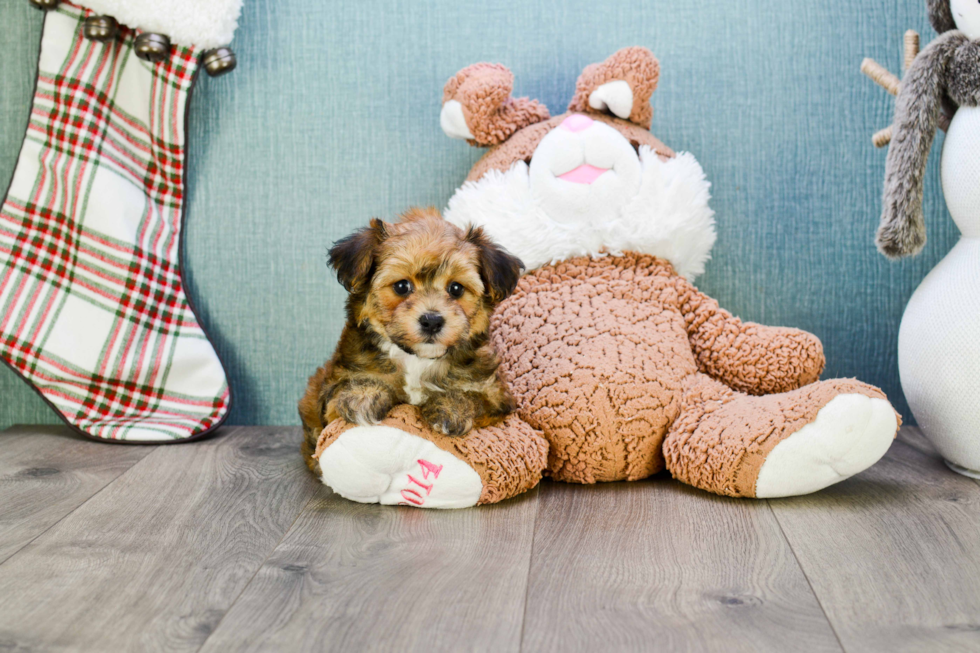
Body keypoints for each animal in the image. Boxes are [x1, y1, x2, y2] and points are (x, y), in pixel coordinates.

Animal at [298, 206, 524, 472]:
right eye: (402, 286)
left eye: (456, 288)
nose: (432, 320)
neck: (416, 359)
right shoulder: (333, 388)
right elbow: (344, 393)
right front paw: (362, 397)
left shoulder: (496, 397)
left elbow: (476, 399)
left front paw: (451, 407)